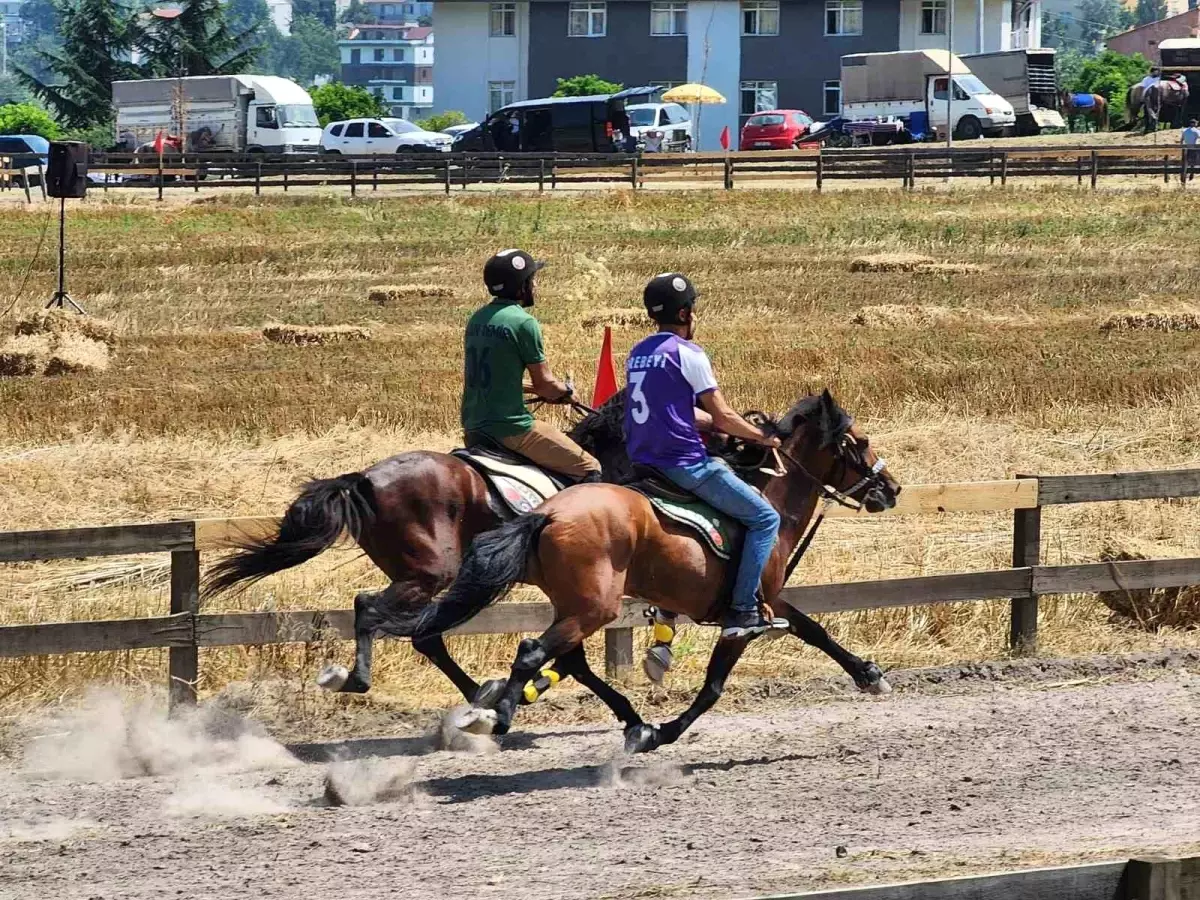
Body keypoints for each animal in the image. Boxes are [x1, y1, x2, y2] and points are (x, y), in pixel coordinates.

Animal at [388, 391, 897, 748]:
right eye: (861, 442)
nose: (890, 488)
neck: (769, 498)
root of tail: (549, 512)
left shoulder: (770, 600)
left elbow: (815, 630)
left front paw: (868, 674)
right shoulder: (747, 616)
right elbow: (713, 686)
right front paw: (664, 731)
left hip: (574, 604)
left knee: (566, 657)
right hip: (594, 607)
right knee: (535, 650)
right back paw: (503, 712)